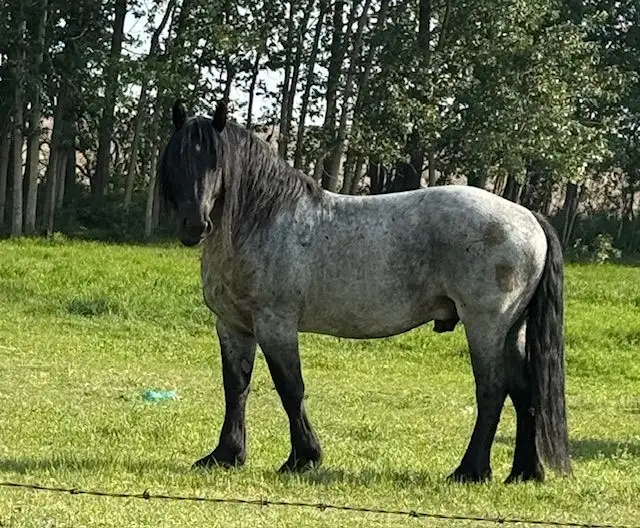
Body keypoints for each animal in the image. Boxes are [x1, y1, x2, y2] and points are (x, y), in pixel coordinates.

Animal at [158, 98, 571, 484]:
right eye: (177, 159)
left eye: (215, 163)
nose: (195, 225)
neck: (263, 220)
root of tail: (528, 216)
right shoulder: (233, 327)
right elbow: (236, 388)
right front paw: (226, 455)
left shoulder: (276, 325)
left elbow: (290, 388)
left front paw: (303, 458)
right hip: (513, 329)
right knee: (524, 391)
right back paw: (524, 472)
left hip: (486, 327)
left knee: (492, 390)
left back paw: (470, 471)